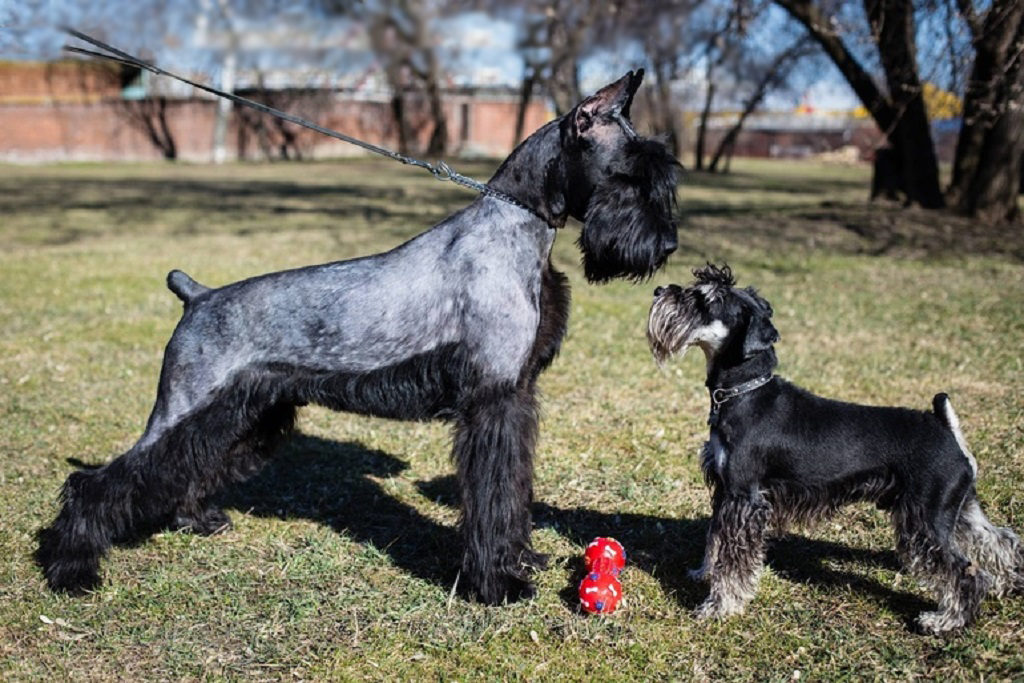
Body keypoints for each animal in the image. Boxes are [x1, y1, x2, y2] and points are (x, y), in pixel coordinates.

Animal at [37, 70, 679, 602]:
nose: (668, 244)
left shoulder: (515, 399)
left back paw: (196, 520)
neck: (516, 223)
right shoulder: (492, 401)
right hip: (190, 406)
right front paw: (497, 582)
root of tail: (198, 295)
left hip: (243, 415)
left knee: (185, 466)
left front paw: (521, 557)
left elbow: (513, 486)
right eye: (633, 171)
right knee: (102, 480)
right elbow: (492, 493)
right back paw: (72, 569)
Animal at [651, 264, 1019, 634]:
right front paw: (703, 572)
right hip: (959, 508)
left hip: (926, 518)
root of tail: (945, 427)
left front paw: (719, 605)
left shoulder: (744, 498)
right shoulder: (725, 491)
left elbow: (733, 556)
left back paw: (945, 619)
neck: (744, 392)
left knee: (965, 571)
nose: (658, 291)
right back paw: (1008, 584)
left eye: (707, 300)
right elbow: (715, 538)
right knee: (999, 540)